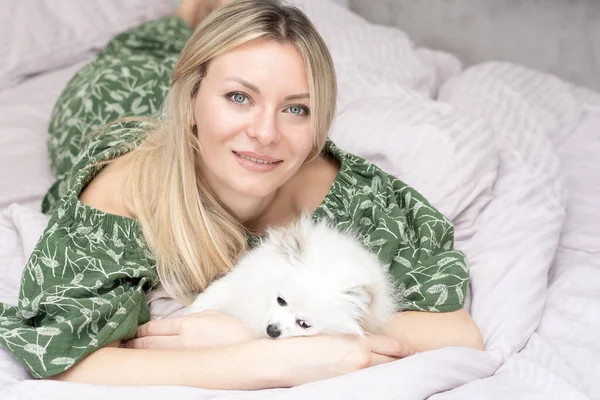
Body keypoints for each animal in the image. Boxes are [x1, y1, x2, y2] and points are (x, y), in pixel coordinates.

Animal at [184, 217, 398, 340]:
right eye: (281, 300)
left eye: (303, 324)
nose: (273, 330)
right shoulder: (238, 284)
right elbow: (210, 298)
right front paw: (191, 312)